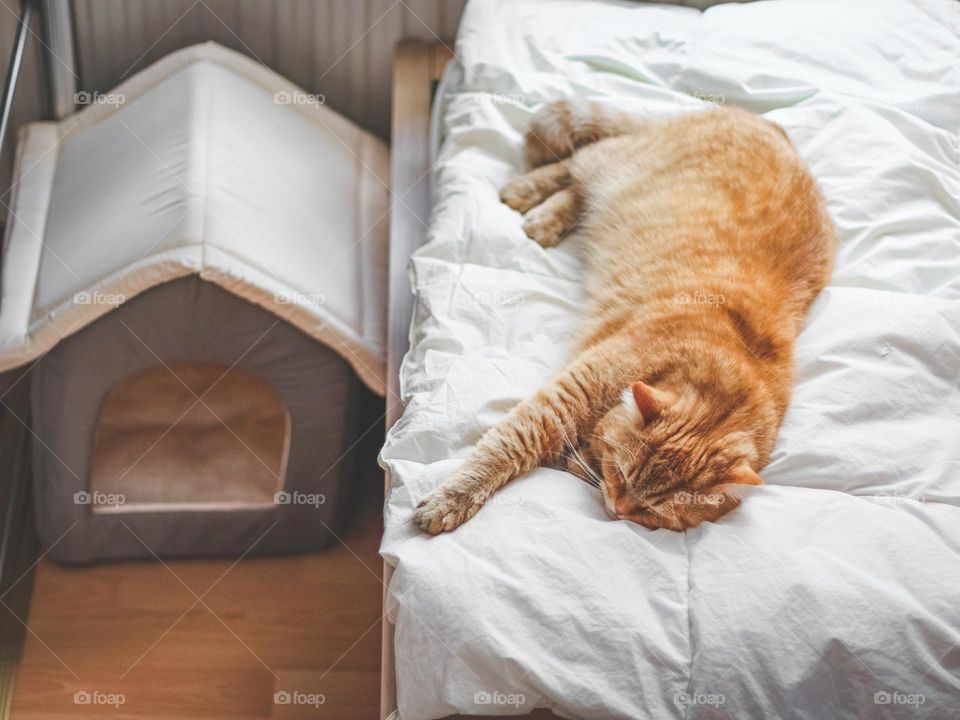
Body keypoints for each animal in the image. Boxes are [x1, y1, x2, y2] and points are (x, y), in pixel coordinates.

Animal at [412, 98, 832, 536]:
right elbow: (505, 447)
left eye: (651, 511)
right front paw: (450, 500)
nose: (617, 510)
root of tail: (768, 125)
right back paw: (528, 194)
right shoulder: (564, 398)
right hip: (616, 166)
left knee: (579, 189)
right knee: (578, 163)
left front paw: (580, 457)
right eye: (623, 473)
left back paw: (546, 216)